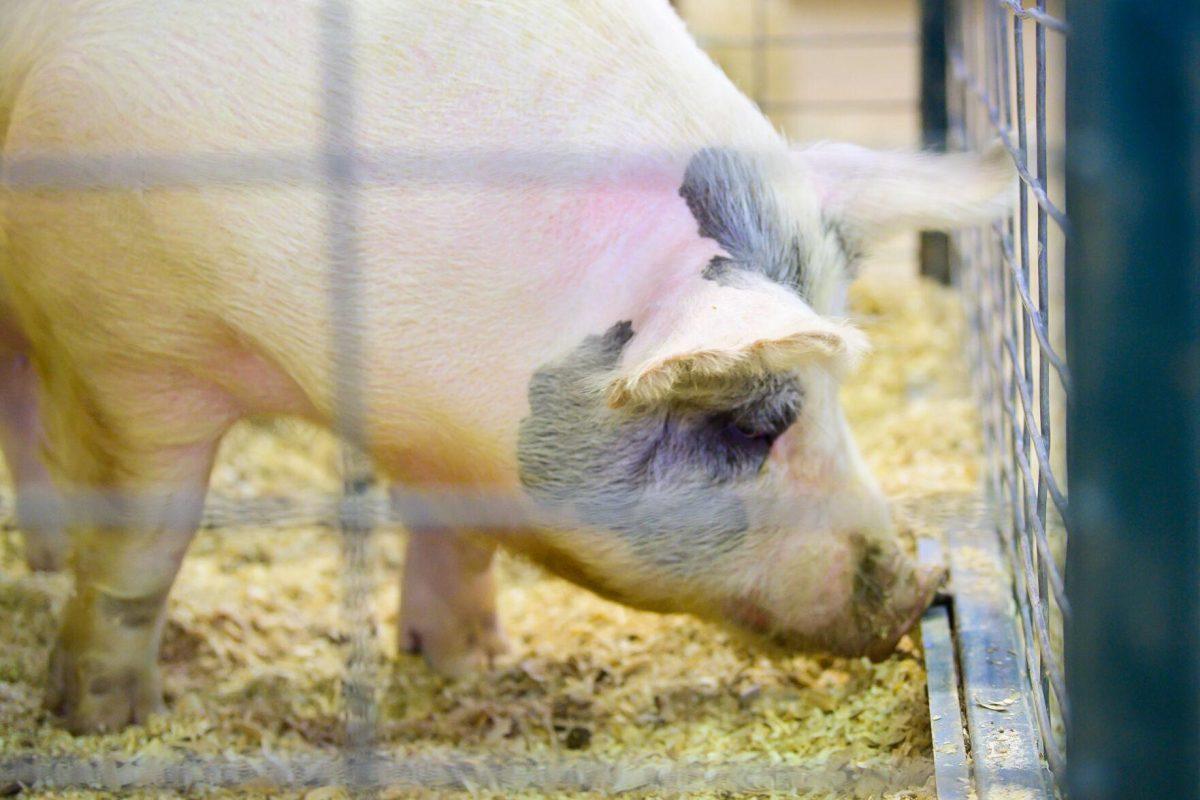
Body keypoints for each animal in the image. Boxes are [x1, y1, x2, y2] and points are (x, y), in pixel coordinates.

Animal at [0, 0, 1012, 734]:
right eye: (757, 422)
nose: (921, 585)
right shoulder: (128, 334)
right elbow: (147, 539)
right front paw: (107, 722)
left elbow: (460, 533)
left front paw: (468, 660)